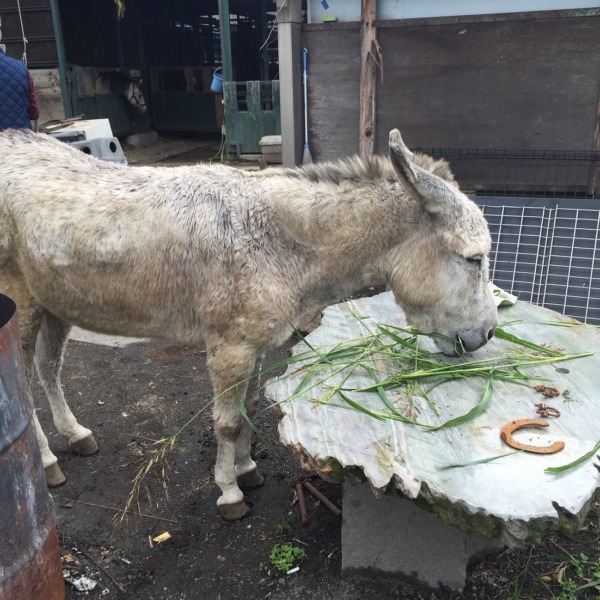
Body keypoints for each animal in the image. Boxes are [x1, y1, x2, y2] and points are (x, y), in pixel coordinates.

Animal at [0, 127, 497, 521]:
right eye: (474, 259)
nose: (488, 333)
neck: (274, 239)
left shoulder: (253, 346)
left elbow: (248, 409)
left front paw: (247, 471)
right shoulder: (229, 348)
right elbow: (227, 423)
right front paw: (229, 492)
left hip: (55, 301)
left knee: (48, 369)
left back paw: (75, 435)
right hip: (20, 303)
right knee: (23, 386)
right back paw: (45, 461)